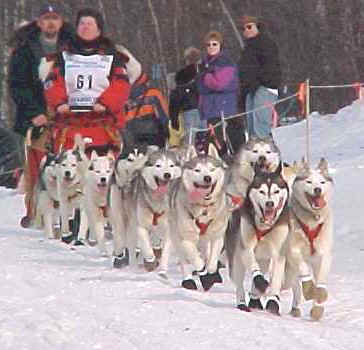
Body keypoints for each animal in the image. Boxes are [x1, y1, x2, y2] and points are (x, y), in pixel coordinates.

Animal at [284, 158, 332, 320]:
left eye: (322, 182)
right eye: (309, 181)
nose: (317, 189)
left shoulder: (324, 254)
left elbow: (321, 279)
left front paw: (318, 305)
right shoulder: (293, 250)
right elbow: (304, 270)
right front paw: (310, 289)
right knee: (295, 287)